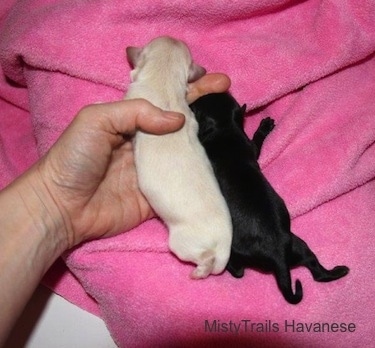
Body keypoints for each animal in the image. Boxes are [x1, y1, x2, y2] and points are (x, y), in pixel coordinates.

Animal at [192, 93, 352, 304]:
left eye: (196, 106)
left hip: (238, 251)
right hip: (299, 247)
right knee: (316, 270)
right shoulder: (249, 145)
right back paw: (339, 271)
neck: (224, 128)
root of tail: (277, 256)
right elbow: (255, 145)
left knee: (238, 271)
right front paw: (265, 126)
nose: (190, 101)